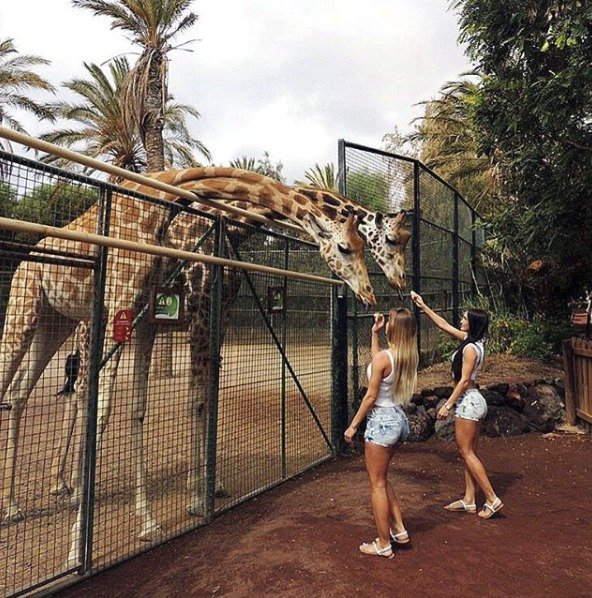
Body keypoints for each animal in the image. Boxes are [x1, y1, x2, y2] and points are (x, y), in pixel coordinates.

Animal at [0, 169, 374, 552]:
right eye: (350, 245)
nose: (370, 294)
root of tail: (27, 260)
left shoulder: (211, 319)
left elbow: (202, 399)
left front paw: (209, 487)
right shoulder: (195, 316)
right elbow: (191, 400)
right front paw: (195, 497)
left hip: (55, 322)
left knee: (25, 392)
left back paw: (30, 498)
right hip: (37, 312)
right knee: (62, 390)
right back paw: (62, 492)